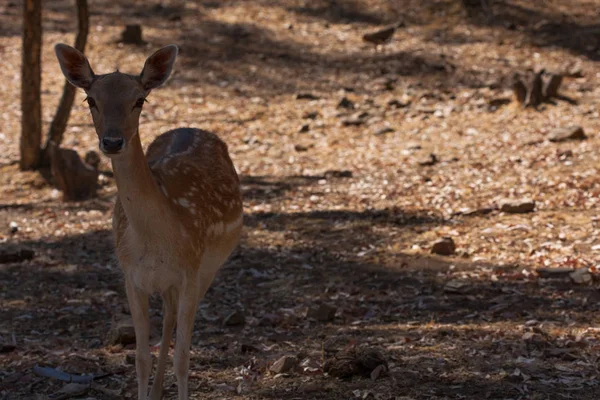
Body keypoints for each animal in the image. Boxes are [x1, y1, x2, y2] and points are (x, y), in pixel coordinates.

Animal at [54, 42, 244, 398]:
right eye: (90, 100)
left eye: (139, 99)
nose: (112, 142)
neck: (155, 239)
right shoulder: (131, 277)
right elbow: (141, 358)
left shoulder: (190, 271)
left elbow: (183, 358)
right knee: (167, 317)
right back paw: (156, 391)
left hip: (210, 268)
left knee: (175, 321)